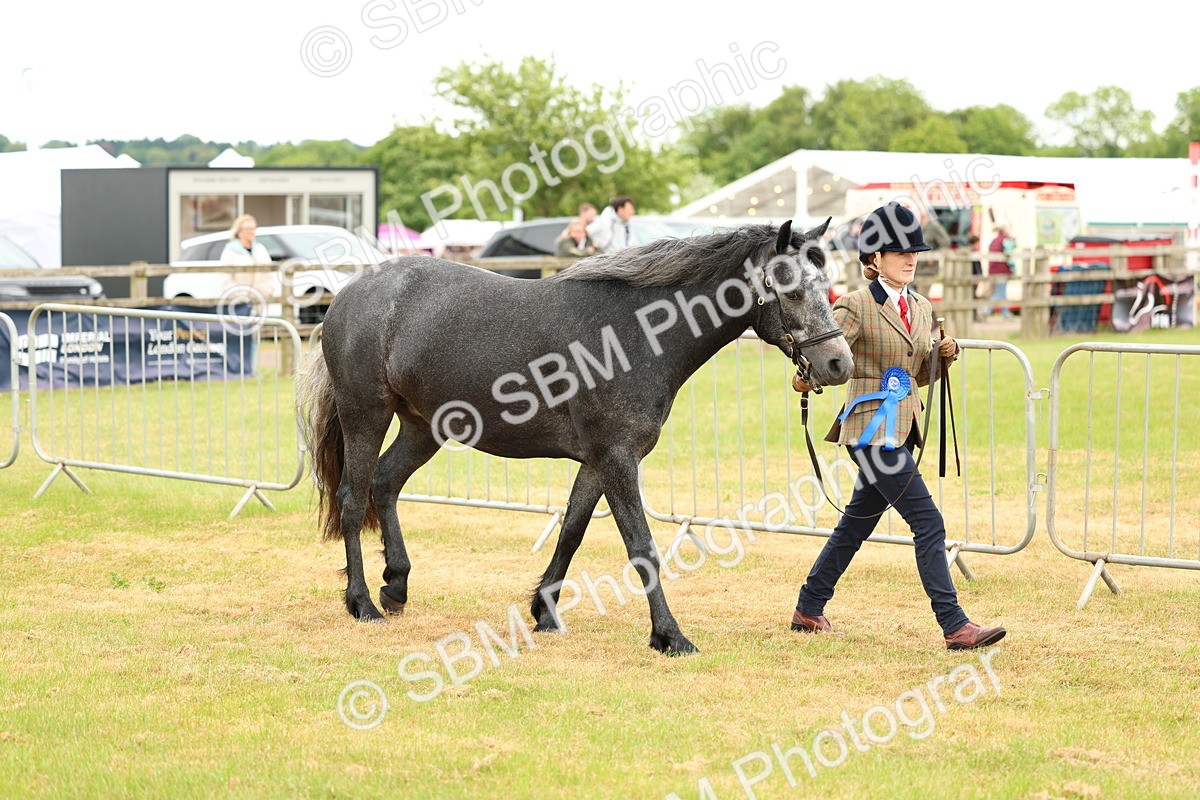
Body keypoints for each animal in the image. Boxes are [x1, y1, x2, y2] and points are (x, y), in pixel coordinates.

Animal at [297, 219, 853, 655]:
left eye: (828, 286)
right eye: (793, 289)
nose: (838, 364)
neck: (633, 335)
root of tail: (349, 293)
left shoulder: (597, 461)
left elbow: (572, 531)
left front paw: (544, 612)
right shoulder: (617, 459)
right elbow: (642, 547)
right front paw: (670, 636)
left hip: (423, 426)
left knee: (385, 484)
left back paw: (396, 586)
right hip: (366, 414)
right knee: (352, 499)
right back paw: (362, 602)